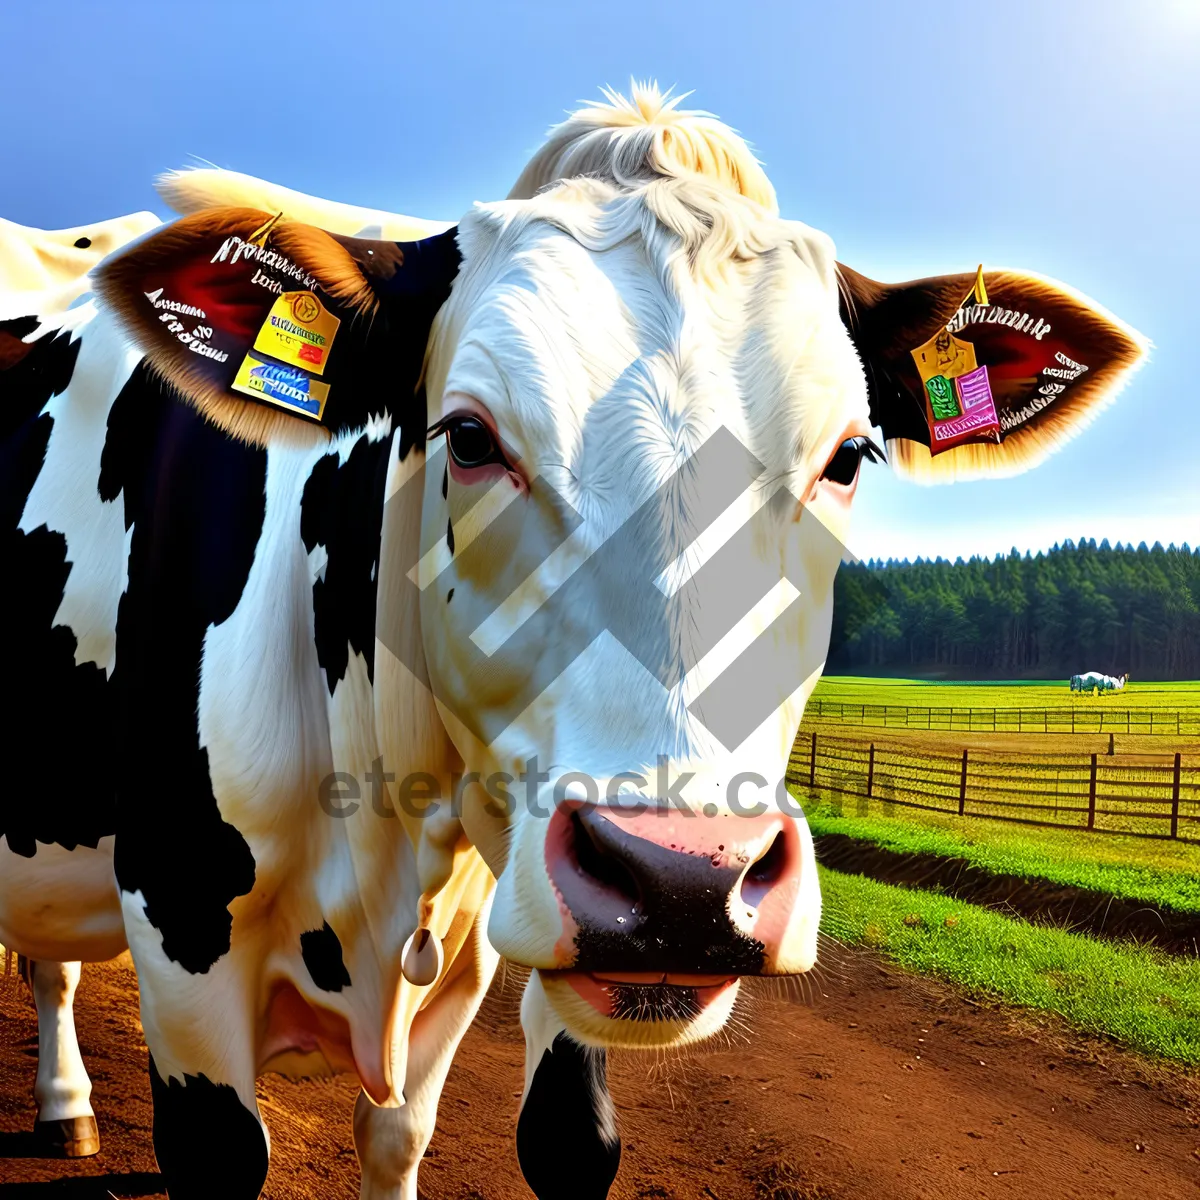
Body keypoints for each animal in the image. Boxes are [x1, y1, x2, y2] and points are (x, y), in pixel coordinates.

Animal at [0, 87, 1142, 1200]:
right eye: (467, 436)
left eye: (849, 457)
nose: (686, 880)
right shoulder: (181, 925)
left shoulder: (499, 935)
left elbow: (522, 1141)